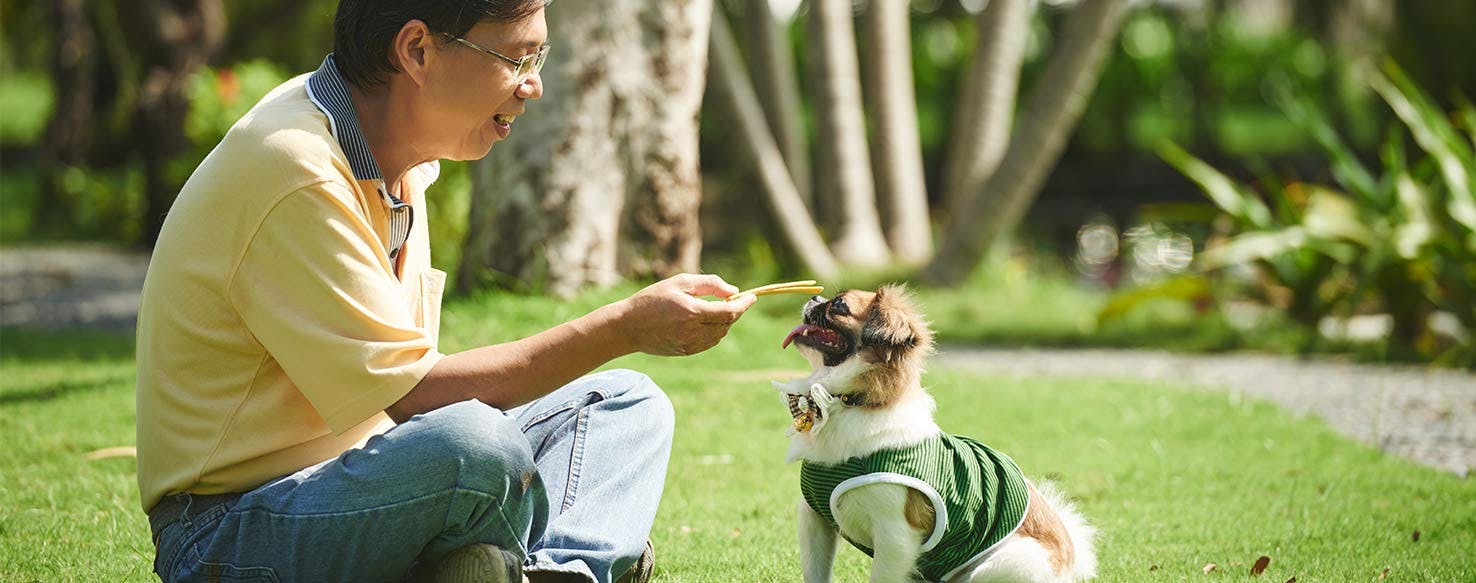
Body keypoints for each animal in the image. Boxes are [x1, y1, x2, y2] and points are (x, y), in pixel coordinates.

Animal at [773, 287, 1098, 583]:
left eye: (839, 305)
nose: (815, 297)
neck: (848, 402)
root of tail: (1069, 562)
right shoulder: (815, 520)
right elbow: (815, 572)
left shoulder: (895, 538)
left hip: (996, 567)